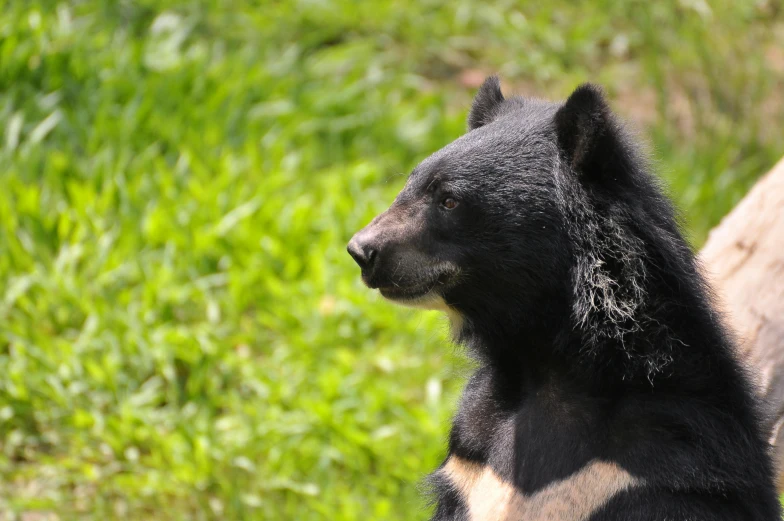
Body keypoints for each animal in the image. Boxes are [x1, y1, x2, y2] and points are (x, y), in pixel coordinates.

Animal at [350, 78, 784, 520]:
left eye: (449, 200)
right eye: (409, 185)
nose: (362, 250)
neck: (543, 365)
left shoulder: (662, 470)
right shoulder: (467, 461)